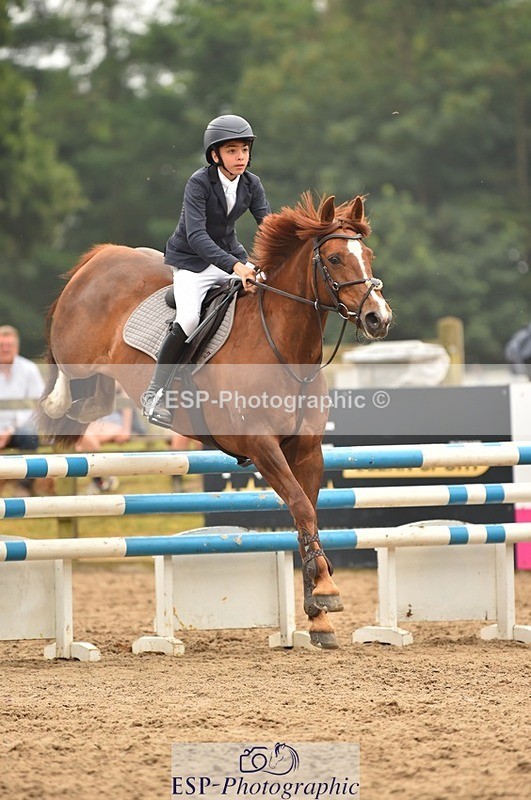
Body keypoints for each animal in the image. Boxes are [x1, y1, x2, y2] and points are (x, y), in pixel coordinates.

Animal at [37, 192, 392, 649]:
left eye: (368, 255)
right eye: (333, 258)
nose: (378, 319)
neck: (284, 345)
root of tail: (104, 255)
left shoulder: (307, 450)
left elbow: (306, 515)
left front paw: (319, 616)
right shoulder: (261, 446)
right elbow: (300, 506)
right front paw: (327, 593)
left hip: (104, 378)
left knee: (94, 403)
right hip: (75, 349)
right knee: (63, 376)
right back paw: (54, 404)